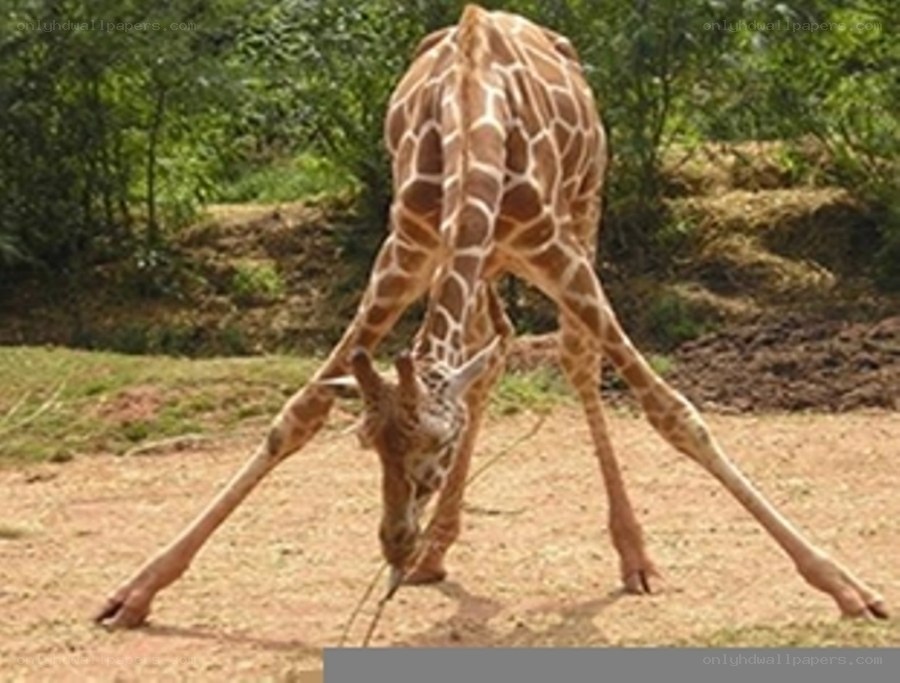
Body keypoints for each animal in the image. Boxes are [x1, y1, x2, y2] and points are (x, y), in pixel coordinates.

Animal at [95, 5, 886, 628]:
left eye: (434, 448)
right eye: (368, 445)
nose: (394, 543)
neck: (471, 115)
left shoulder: (555, 251)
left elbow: (674, 412)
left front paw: (845, 584)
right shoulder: (405, 251)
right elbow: (297, 414)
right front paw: (137, 590)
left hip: (583, 212)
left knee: (572, 358)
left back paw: (630, 556)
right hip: (476, 262)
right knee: (490, 350)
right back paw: (441, 549)